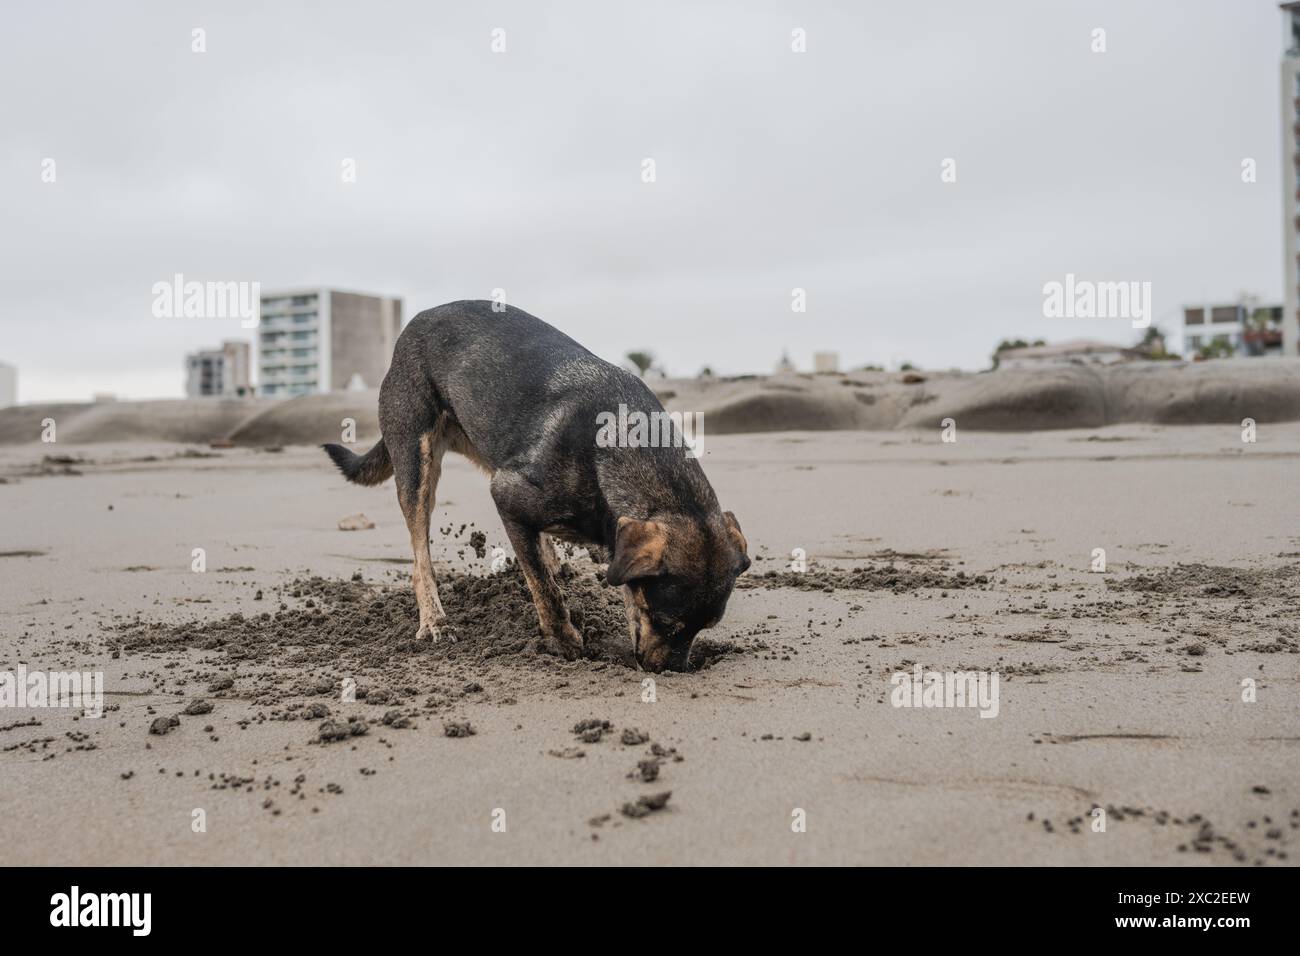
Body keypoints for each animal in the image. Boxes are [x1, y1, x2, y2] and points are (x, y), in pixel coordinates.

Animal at [325, 303, 754, 671]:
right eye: (664, 621)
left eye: (704, 628)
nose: (671, 671)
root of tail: (412, 325)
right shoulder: (507, 495)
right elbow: (543, 588)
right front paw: (564, 642)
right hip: (417, 460)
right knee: (419, 557)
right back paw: (434, 619)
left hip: (490, 445)